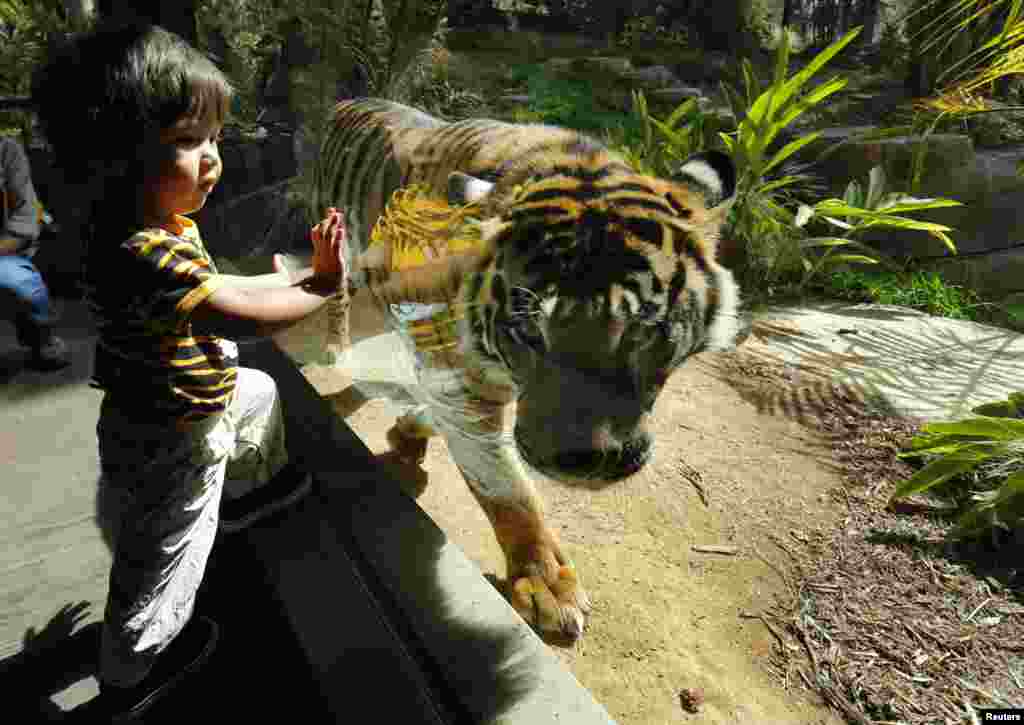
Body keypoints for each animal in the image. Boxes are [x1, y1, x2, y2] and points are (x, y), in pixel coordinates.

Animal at [303, 97, 745, 638]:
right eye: (529, 331)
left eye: (646, 325)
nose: (584, 459)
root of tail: (351, 100)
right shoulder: (458, 374)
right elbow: (505, 484)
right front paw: (544, 581)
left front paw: (411, 428)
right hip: (340, 244)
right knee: (338, 293)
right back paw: (335, 347)